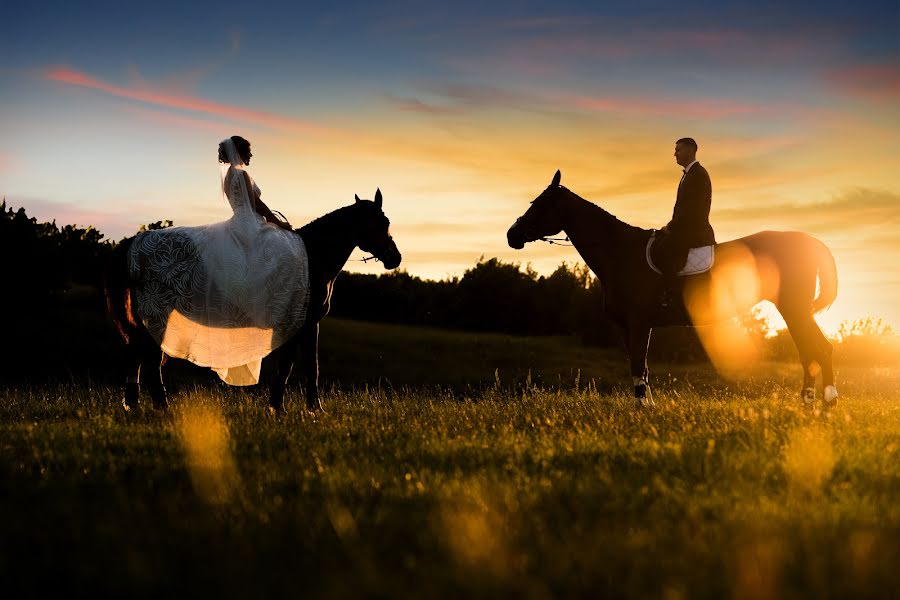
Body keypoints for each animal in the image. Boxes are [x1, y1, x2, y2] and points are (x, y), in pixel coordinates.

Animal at [105, 191, 400, 412]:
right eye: (383, 222)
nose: (395, 258)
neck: (311, 258)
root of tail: (134, 243)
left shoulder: (300, 325)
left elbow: (295, 365)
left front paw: (285, 407)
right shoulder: (305, 324)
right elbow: (301, 366)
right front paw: (299, 409)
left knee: (138, 354)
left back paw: (134, 404)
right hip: (156, 313)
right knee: (149, 357)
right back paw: (158, 405)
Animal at [510, 171, 840, 410]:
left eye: (539, 204)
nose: (512, 235)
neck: (621, 252)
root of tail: (810, 241)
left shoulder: (639, 322)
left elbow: (638, 363)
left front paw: (642, 408)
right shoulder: (628, 326)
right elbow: (639, 365)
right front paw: (648, 404)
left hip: (794, 308)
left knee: (820, 349)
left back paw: (828, 401)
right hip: (793, 310)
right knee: (809, 352)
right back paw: (808, 402)